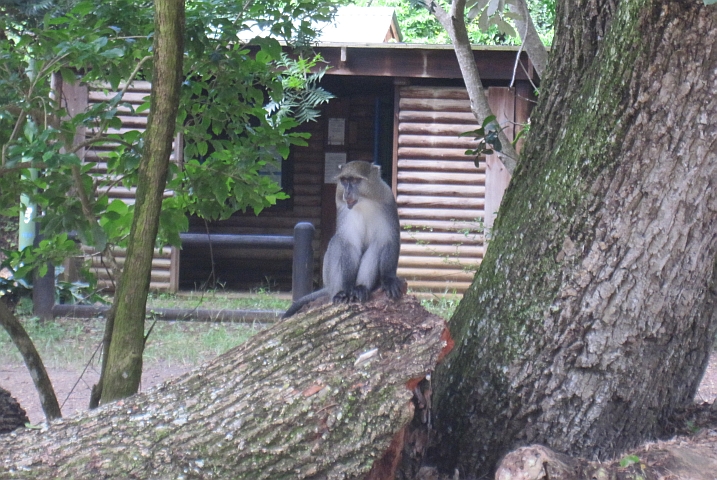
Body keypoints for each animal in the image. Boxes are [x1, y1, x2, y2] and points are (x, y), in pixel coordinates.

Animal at [282, 161, 403, 318]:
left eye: (355, 180)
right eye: (345, 181)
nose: (347, 192)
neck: (364, 202)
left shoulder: (388, 200)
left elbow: (388, 239)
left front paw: (389, 279)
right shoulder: (343, 208)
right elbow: (347, 243)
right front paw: (346, 288)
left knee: (376, 246)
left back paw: (361, 288)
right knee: (336, 242)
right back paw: (341, 293)